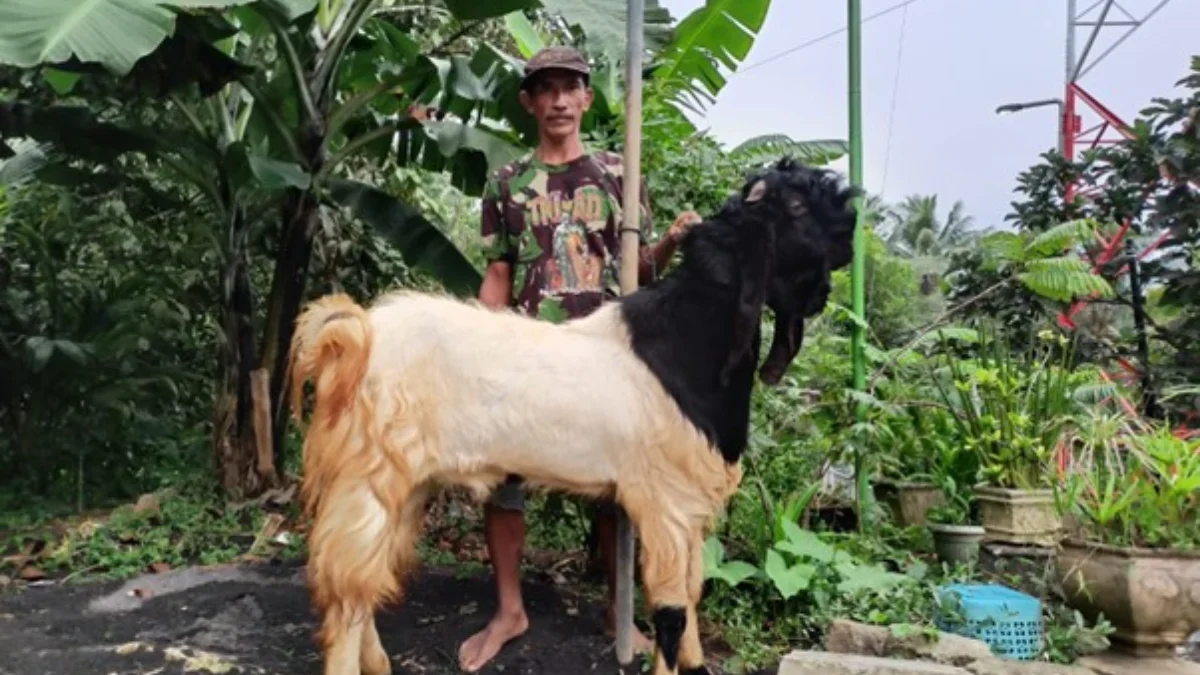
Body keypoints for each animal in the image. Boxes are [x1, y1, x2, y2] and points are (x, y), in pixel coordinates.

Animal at [285, 156, 859, 672]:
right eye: (796, 204)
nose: (851, 233)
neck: (684, 344)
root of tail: (354, 336)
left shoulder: (689, 506)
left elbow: (693, 596)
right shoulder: (665, 502)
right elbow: (672, 612)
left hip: (406, 485)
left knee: (365, 584)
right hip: (367, 477)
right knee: (345, 594)